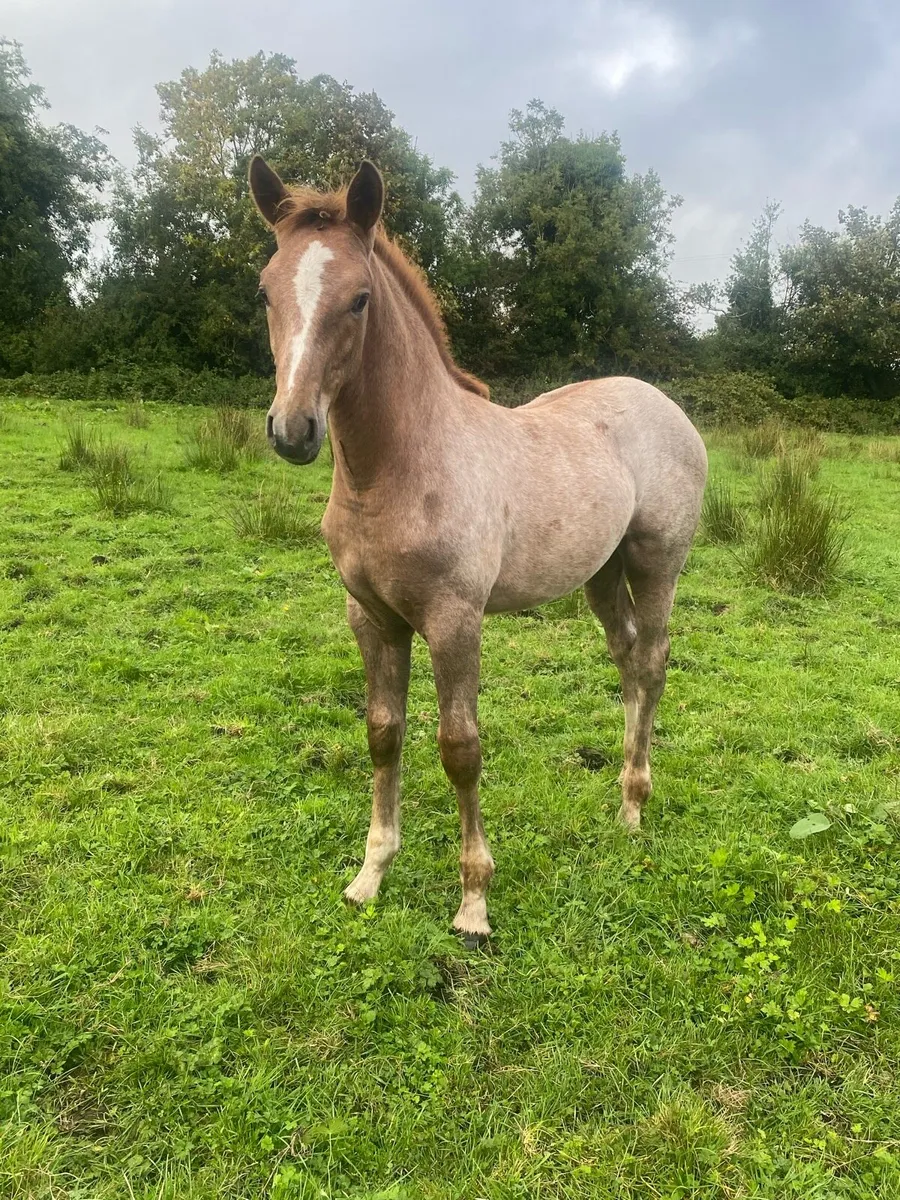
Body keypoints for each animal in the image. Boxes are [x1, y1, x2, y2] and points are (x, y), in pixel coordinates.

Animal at [248, 155, 708, 945]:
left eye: (359, 299)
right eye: (266, 291)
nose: (293, 429)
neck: (397, 469)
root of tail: (665, 405)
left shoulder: (454, 620)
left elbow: (460, 749)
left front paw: (473, 902)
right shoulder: (370, 617)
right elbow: (383, 733)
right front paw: (370, 875)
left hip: (657, 562)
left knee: (651, 662)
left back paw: (633, 807)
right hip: (601, 572)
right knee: (625, 658)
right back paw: (621, 796)